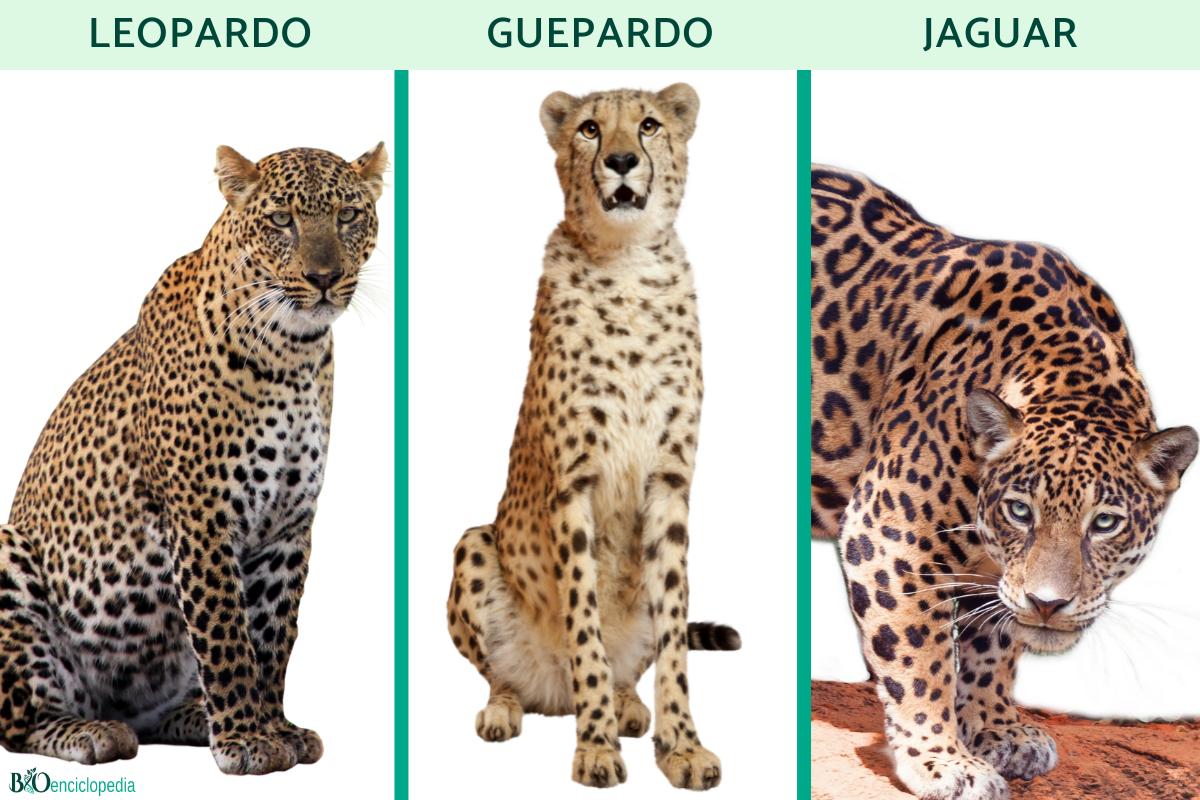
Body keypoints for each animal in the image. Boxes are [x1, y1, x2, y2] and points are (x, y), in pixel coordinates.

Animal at [0, 143, 387, 774]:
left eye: (348, 216)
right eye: (281, 220)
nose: (324, 278)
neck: (293, 354)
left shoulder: (288, 526)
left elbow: (271, 638)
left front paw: (275, 728)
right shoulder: (203, 517)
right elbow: (227, 634)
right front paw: (246, 741)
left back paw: (188, 718)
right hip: (11, 557)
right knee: (21, 719)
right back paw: (90, 732)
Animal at [446, 83, 740, 791]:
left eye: (649, 124)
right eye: (587, 129)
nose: (623, 161)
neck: (626, 263)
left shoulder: (669, 484)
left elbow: (673, 641)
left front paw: (682, 747)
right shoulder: (572, 488)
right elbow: (583, 621)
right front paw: (597, 746)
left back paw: (629, 706)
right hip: (473, 544)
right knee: (501, 676)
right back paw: (508, 709)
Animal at [811, 165, 1198, 799]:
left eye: (1105, 523)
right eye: (1021, 511)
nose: (1049, 604)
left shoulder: (994, 574)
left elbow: (995, 639)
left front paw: (998, 730)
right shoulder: (887, 534)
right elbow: (919, 656)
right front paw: (943, 760)